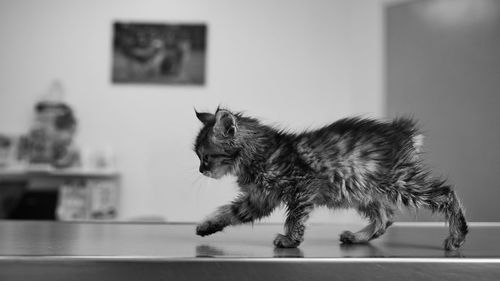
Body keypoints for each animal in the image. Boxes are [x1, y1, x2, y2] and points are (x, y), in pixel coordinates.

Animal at [192, 107, 468, 249]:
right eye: (198, 157)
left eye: (206, 157)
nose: (200, 170)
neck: (261, 153)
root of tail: (400, 130)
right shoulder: (259, 199)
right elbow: (229, 212)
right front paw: (206, 226)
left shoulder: (302, 186)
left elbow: (295, 218)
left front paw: (290, 240)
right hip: (363, 192)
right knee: (385, 217)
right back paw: (357, 237)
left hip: (399, 182)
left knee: (445, 194)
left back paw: (457, 235)